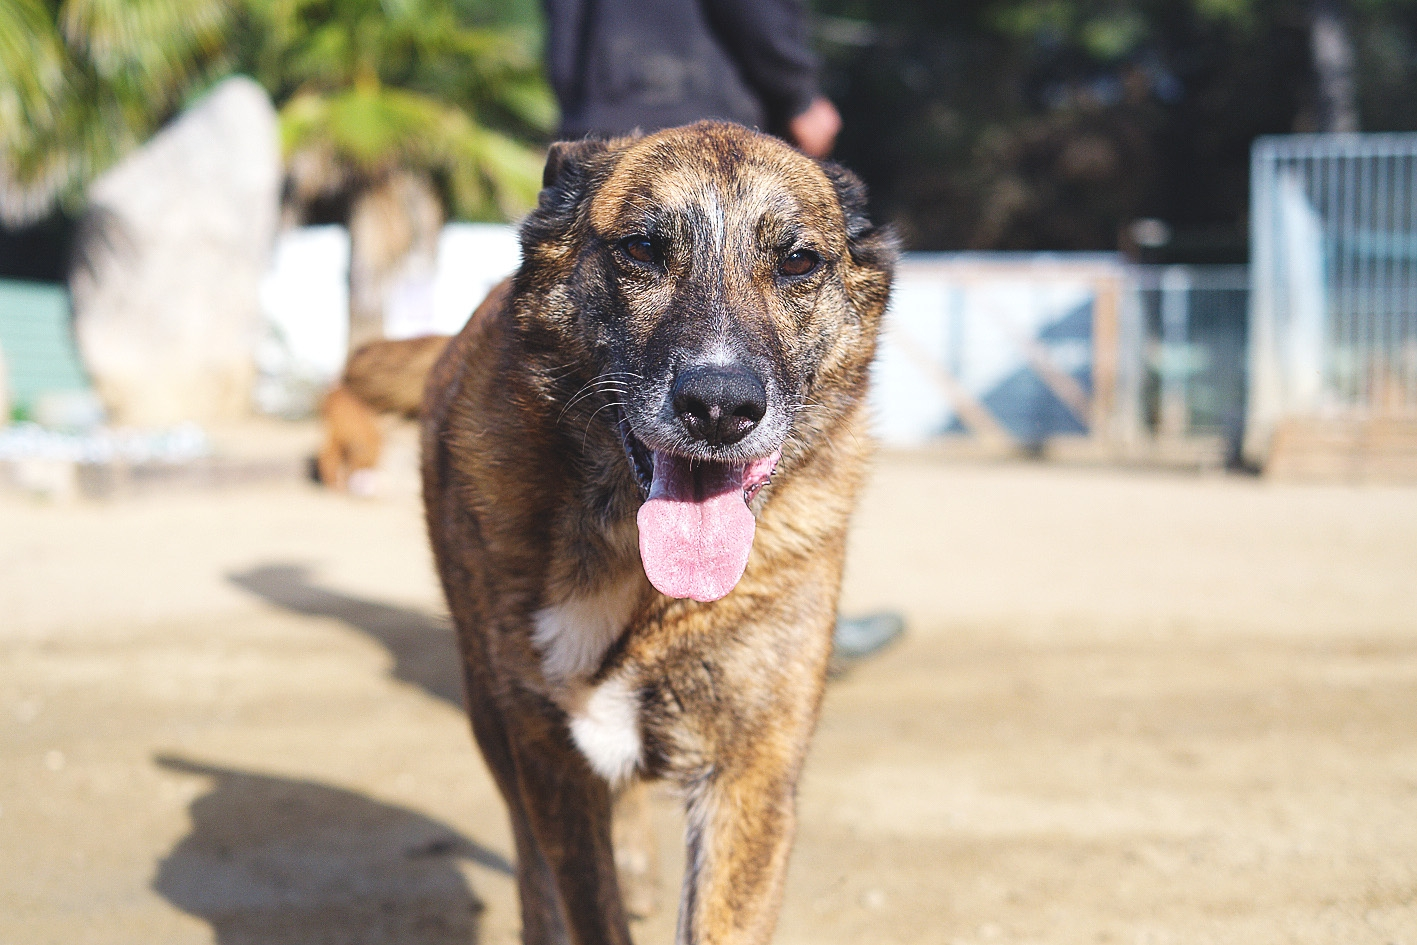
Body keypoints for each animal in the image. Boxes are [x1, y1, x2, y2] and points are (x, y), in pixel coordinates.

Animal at [414, 121, 894, 943]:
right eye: (641, 248)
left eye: (798, 261)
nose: (720, 406)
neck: (640, 583)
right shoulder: (549, 757)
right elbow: (585, 902)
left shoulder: (750, 772)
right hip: (493, 715)